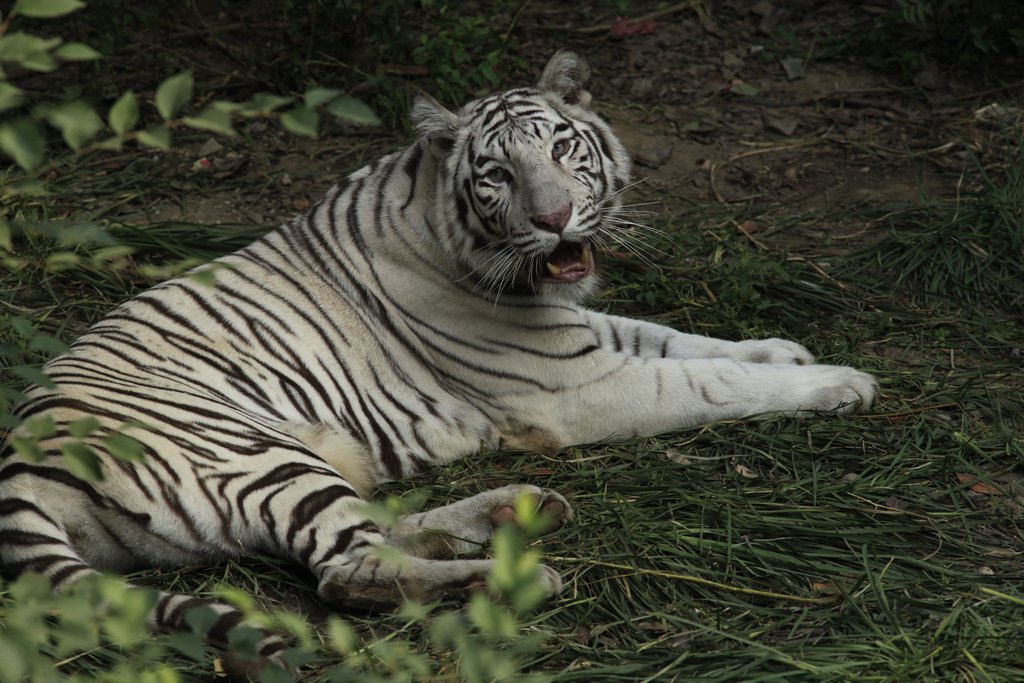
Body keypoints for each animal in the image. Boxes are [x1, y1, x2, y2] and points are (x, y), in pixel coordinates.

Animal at [2, 52, 880, 671]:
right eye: (496, 174)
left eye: (565, 147)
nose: (556, 219)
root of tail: (19, 461)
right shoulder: (574, 385)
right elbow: (710, 378)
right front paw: (842, 381)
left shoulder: (582, 332)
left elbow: (675, 337)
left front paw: (786, 346)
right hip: (249, 450)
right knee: (347, 569)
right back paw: (506, 576)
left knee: (375, 535)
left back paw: (511, 514)